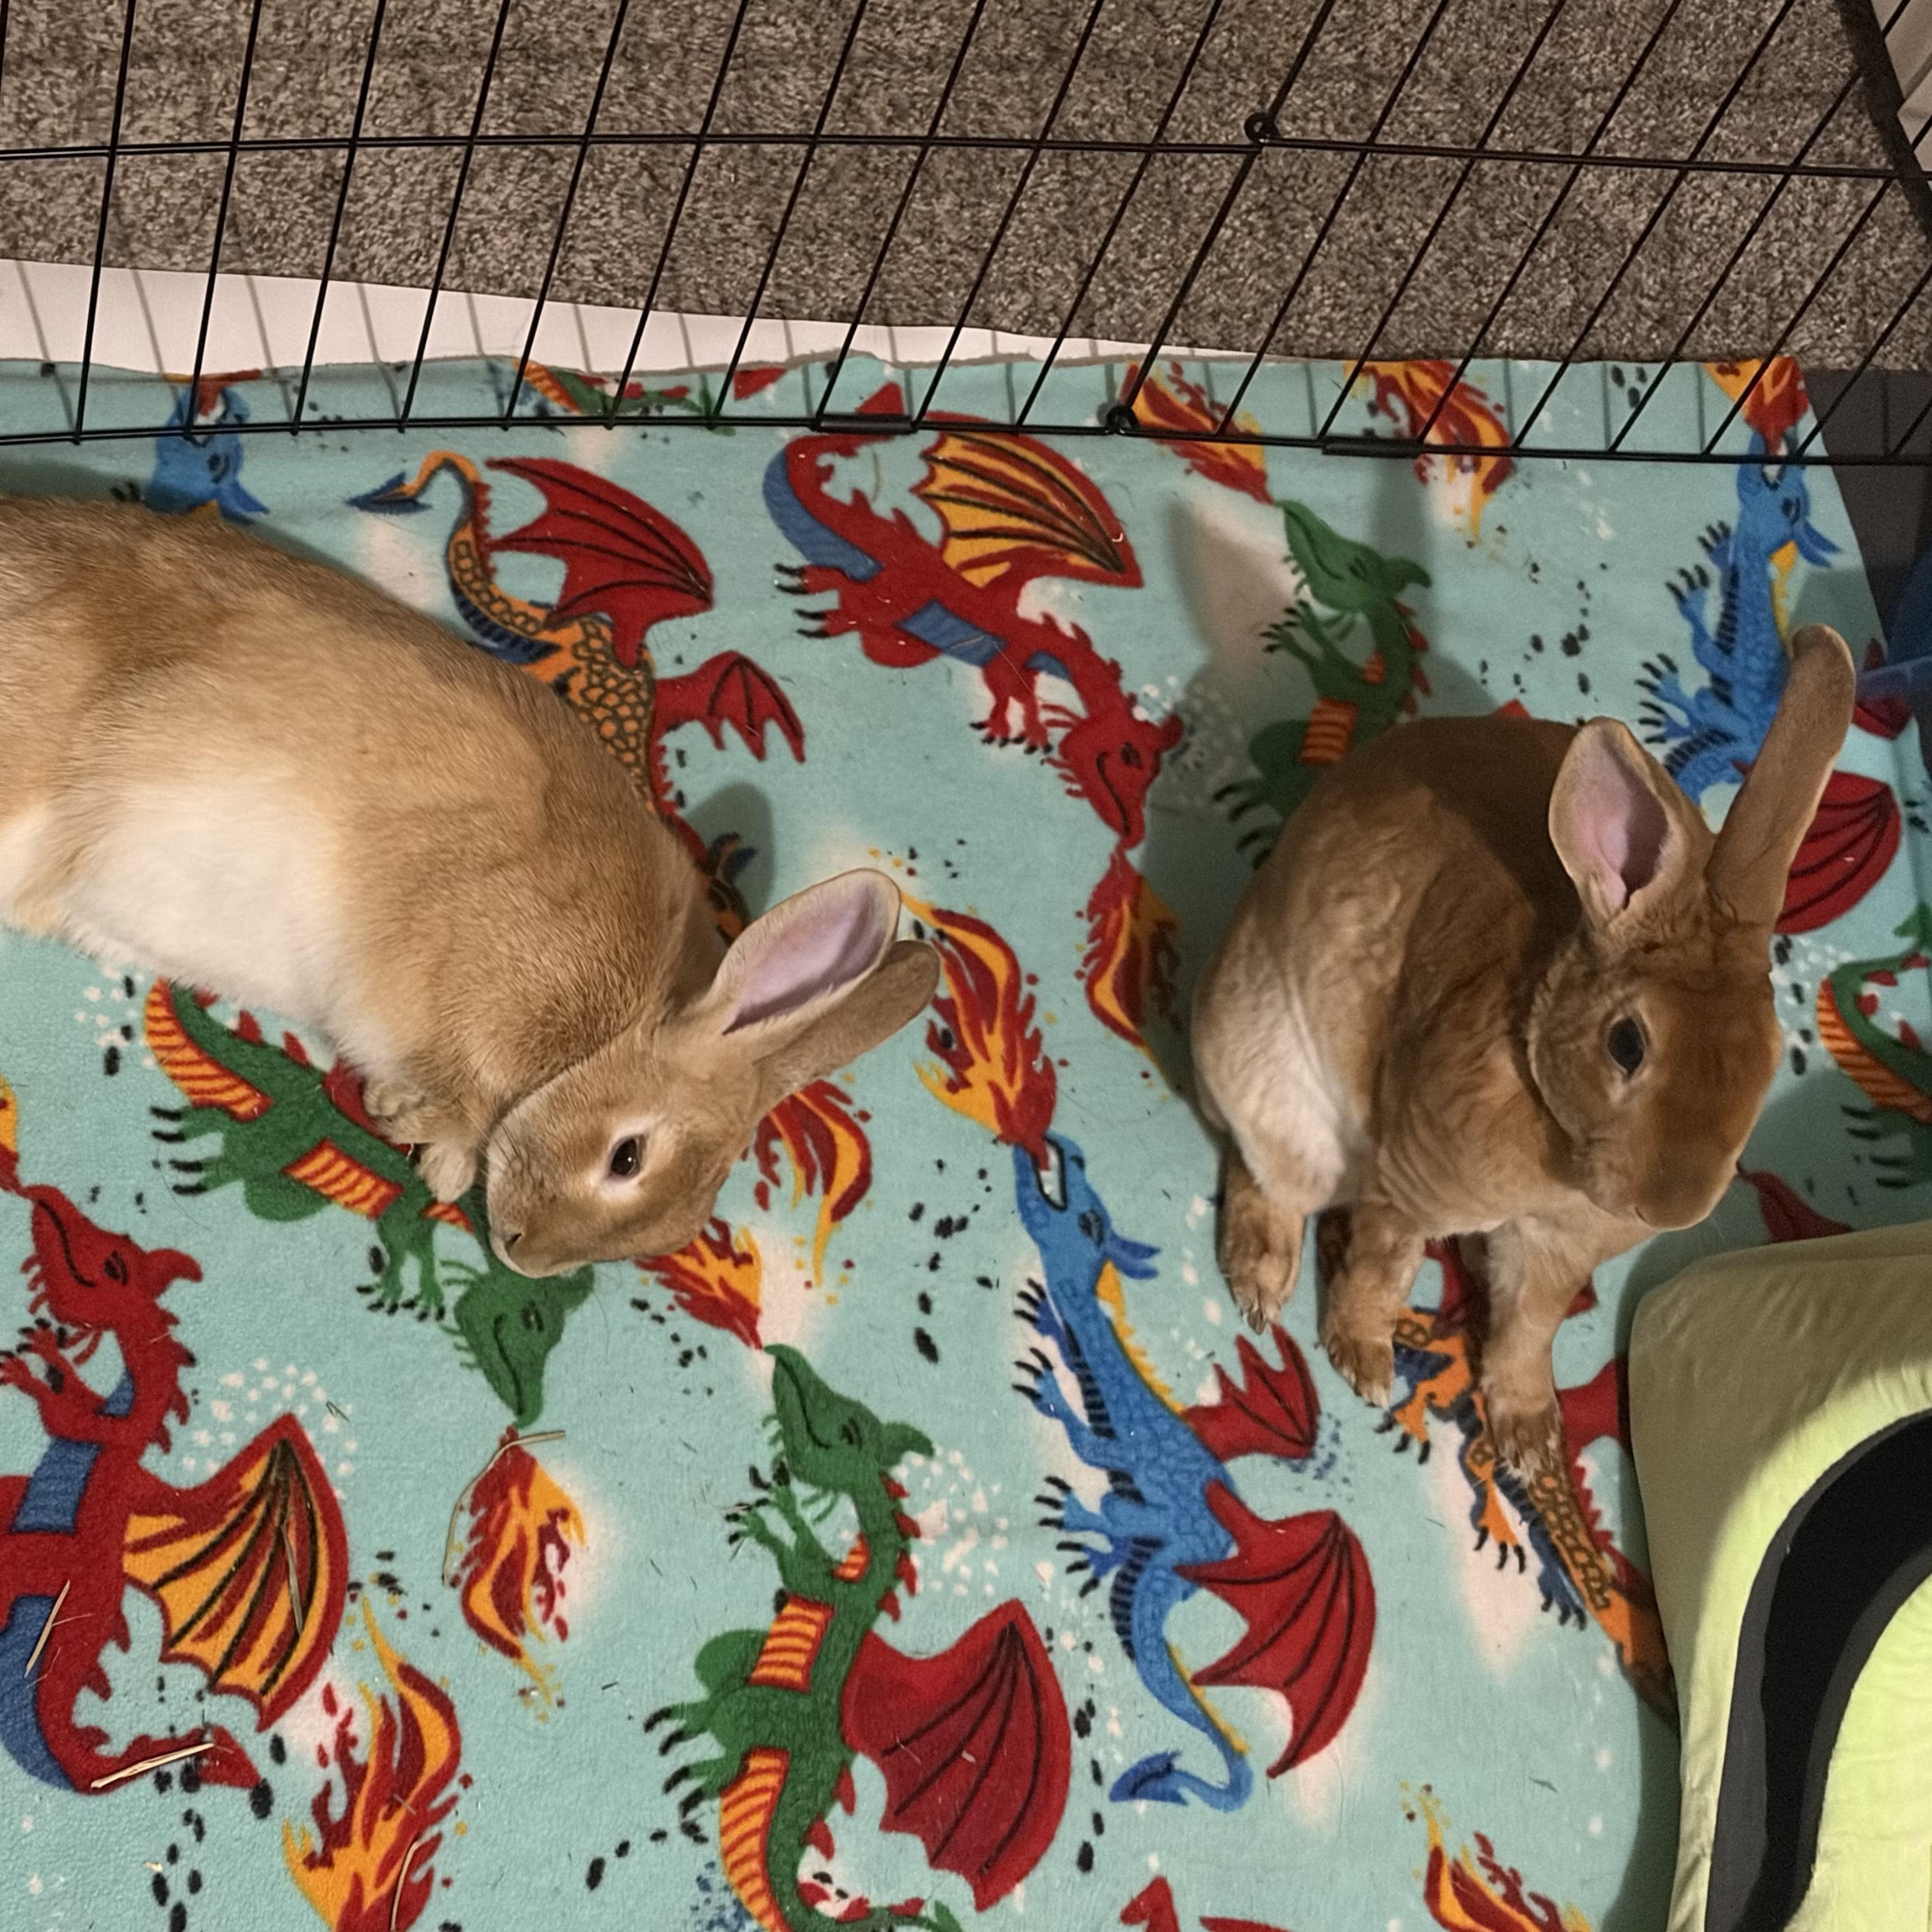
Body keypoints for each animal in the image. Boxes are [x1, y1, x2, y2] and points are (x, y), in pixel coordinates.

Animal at [0, 495, 939, 1276]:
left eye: (668, 1236)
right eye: (627, 1157)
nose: (524, 1258)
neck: (611, 1029)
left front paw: (414, 1131)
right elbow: (463, 1097)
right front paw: (427, 1142)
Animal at [1190, 623, 1856, 1481]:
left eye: (1773, 1060)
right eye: (1627, 1044)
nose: (1670, 1208)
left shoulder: (1554, 1253)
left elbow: (1529, 1329)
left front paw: (1533, 1444)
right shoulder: (1413, 1186)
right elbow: (1384, 1270)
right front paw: (1364, 1362)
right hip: (1278, 1081)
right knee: (1265, 1172)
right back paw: (1261, 1284)